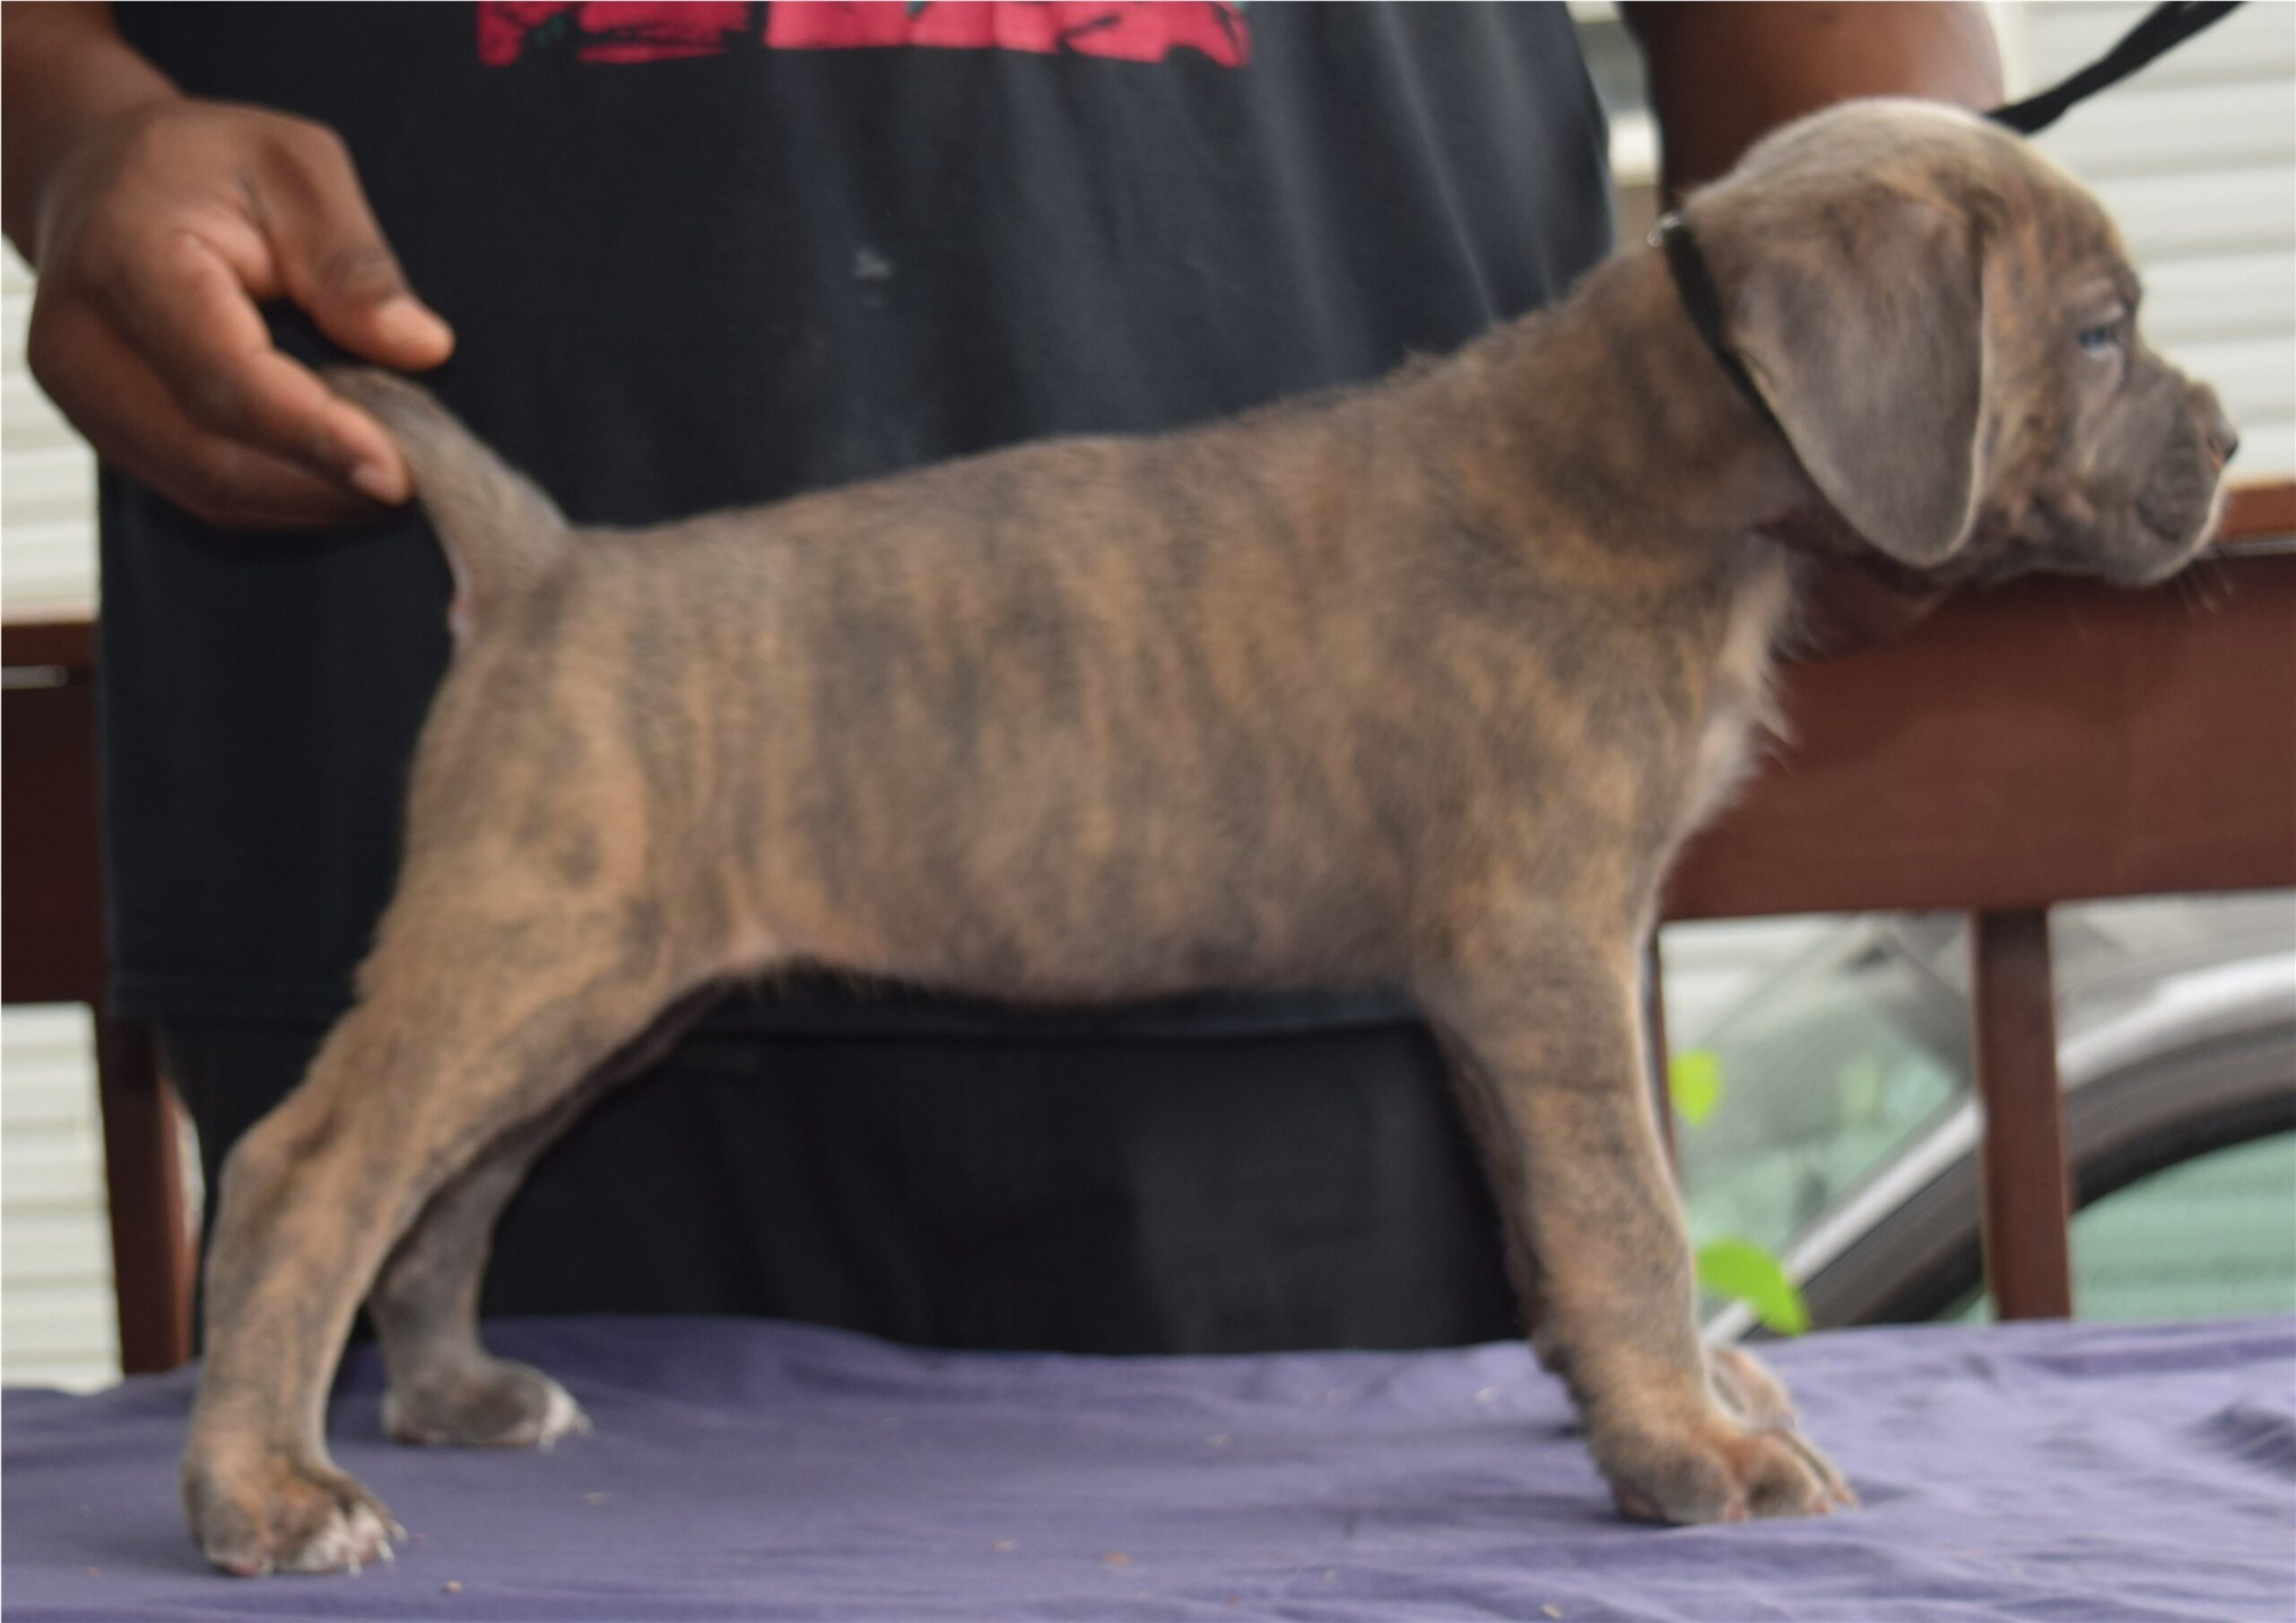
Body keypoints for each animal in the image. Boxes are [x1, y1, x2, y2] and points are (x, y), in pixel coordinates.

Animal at [183, 101, 2240, 1570]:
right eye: (2097, 331)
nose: (2225, 445)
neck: (1638, 459)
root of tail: (547, 567)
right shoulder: (1548, 950)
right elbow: (1629, 1209)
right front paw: (1694, 1447)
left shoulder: (1504, 985)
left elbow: (1553, 1220)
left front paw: (1629, 1401)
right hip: (526, 944)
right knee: (309, 1173)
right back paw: (266, 1492)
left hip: (597, 986)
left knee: (447, 1187)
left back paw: (449, 1394)